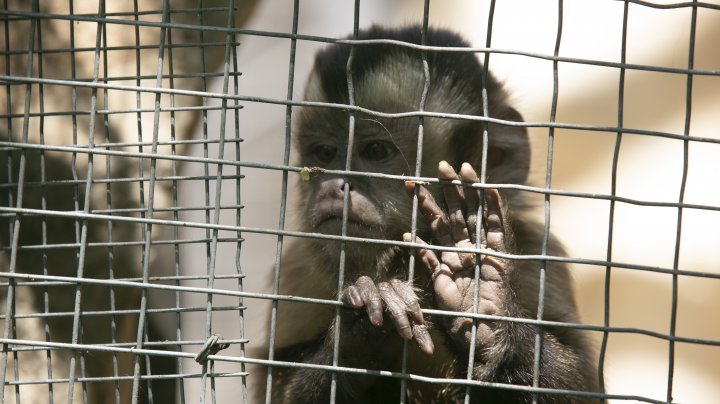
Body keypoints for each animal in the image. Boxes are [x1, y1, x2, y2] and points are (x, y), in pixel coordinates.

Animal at [258, 26, 596, 404]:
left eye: (375, 151)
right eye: (325, 154)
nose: (333, 185)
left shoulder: (538, 253)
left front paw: (478, 299)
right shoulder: (297, 268)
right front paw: (357, 333)